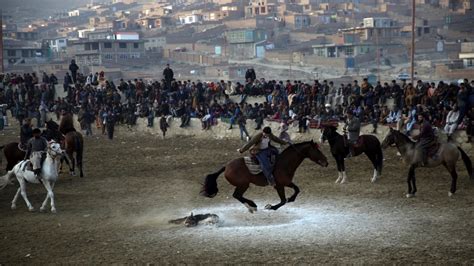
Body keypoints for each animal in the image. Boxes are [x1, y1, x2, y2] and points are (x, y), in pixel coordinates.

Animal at [198, 141, 328, 212]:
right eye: (317, 150)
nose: (326, 162)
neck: (283, 163)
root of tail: (226, 166)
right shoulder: (279, 185)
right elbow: (282, 201)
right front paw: (271, 207)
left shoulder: (286, 182)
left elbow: (296, 190)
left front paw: (291, 199)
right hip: (243, 185)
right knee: (237, 195)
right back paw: (252, 206)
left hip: (243, 185)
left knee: (237, 196)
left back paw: (252, 206)